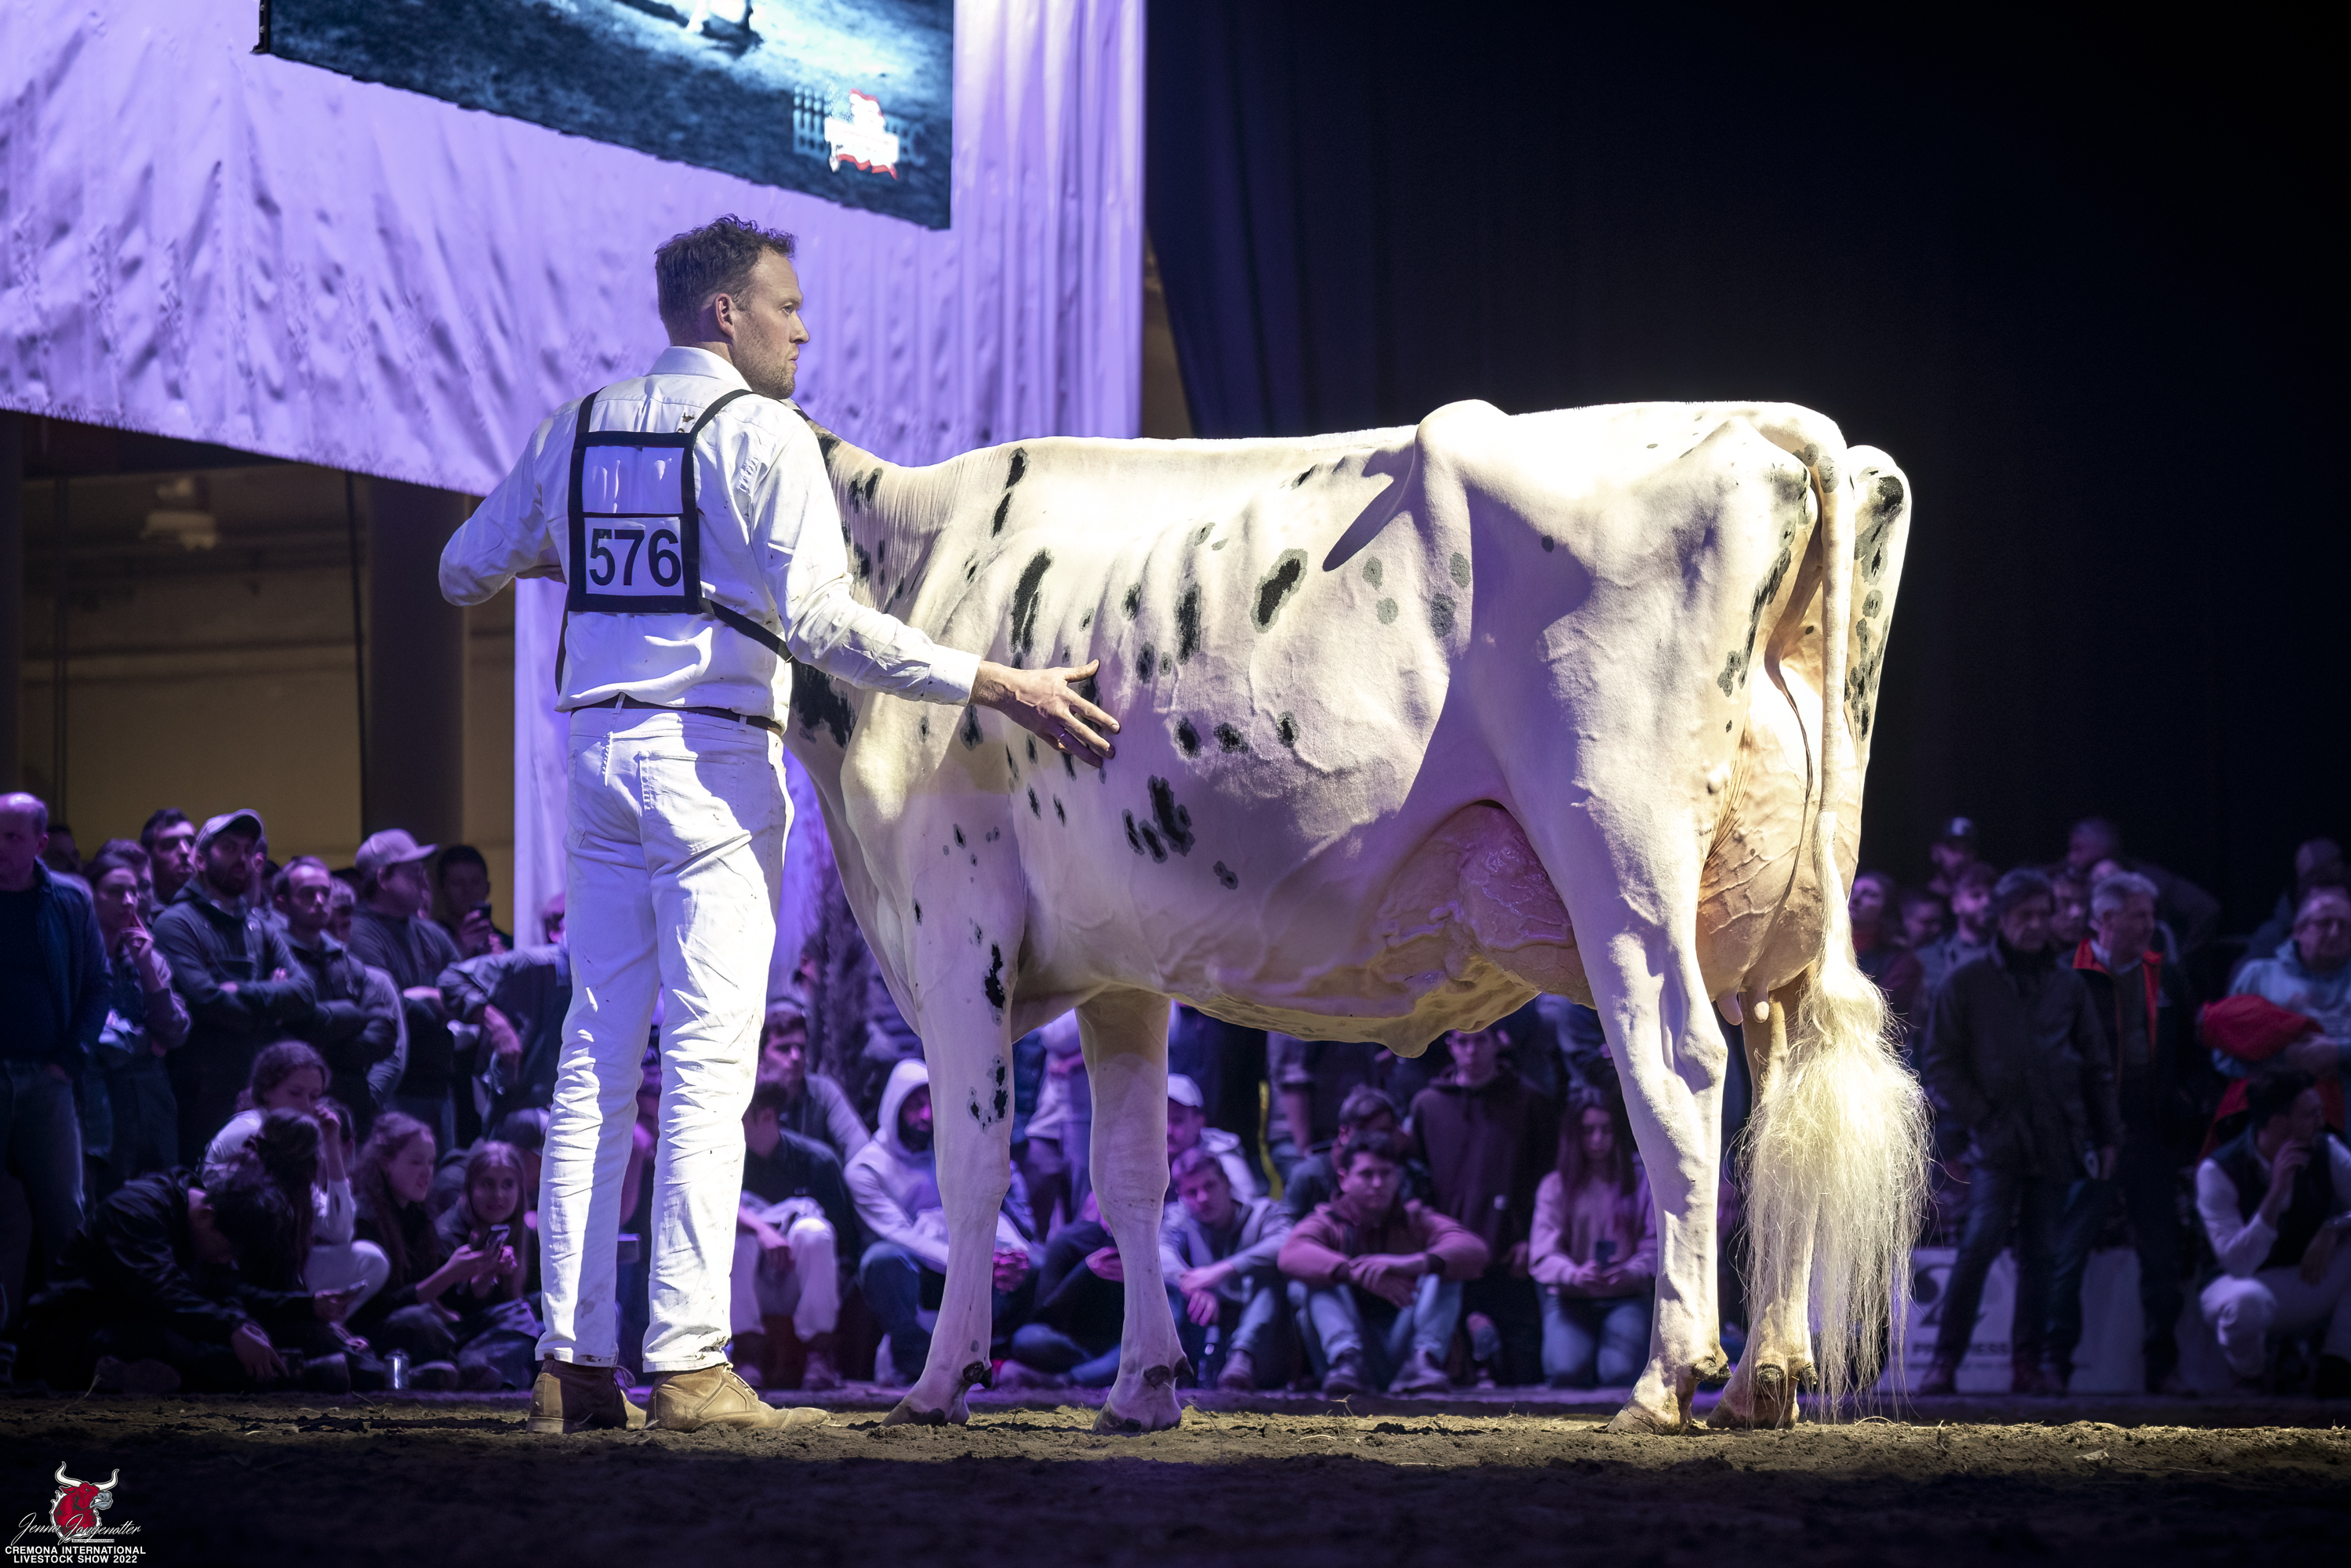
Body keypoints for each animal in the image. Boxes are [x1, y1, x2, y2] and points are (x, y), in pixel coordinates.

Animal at [778, 396, 1928, 1434]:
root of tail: (1767, 421)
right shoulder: (1120, 969)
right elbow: (1132, 1175)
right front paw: (1143, 1387)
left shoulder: (952, 915)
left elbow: (973, 1161)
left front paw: (938, 1384)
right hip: (1784, 906)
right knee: (1782, 1099)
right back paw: (1764, 1378)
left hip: (1621, 859)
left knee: (1678, 1068)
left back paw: (1667, 1379)